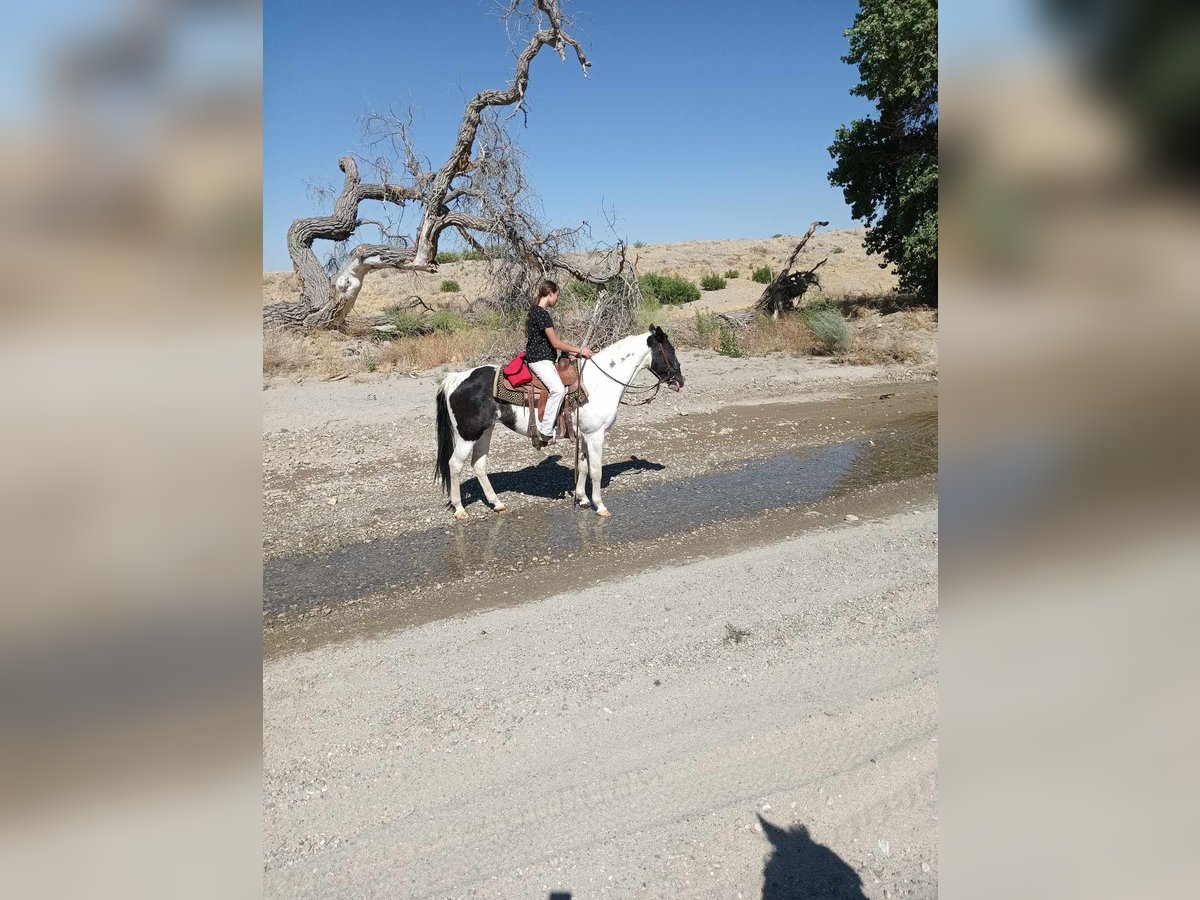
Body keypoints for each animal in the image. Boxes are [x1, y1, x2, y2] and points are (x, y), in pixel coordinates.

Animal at [436, 326, 686, 520]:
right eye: (669, 350)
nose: (680, 380)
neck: (601, 382)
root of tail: (454, 379)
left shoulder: (585, 435)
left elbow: (583, 467)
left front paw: (582, 499)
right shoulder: (596, 435)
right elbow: (596, 470)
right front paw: (600, 506)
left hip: (485, 430)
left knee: (479, 464)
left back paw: (497, 504)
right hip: (467, 435)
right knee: (454, 465)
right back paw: (460, 510)